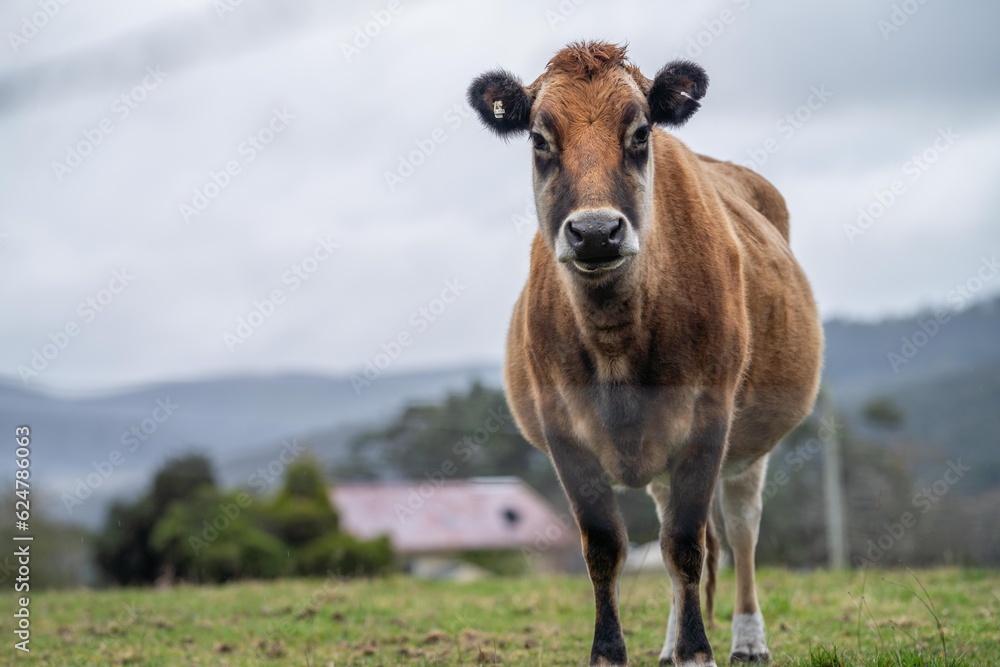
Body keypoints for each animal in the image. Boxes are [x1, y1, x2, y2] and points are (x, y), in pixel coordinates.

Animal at [468, 43, 820, 667]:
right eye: (538, 138)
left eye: (639, 133)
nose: (595, 232)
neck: (615, 343)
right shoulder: (563, 432)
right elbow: (606, 547)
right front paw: (610, 652)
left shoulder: (710, 418)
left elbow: (685, 545)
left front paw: (699, 651)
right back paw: (669, 642)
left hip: (748, 448)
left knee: (740, 529)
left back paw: (747, 639)